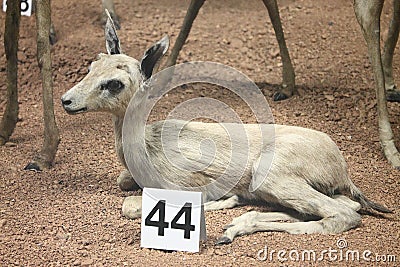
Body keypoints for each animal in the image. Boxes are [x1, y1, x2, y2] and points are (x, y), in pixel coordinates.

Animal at [61, 14, 392, 245]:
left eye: (114, 83)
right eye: (92, 66)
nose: (66, 100)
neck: (146, 144)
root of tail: (342, 168)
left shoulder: (183, 186)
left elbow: (130, 205)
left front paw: (223, 201)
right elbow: (122, 182)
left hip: (271, 178)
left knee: (342, 215)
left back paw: (232, 225)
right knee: (336, 207)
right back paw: (232, 227)